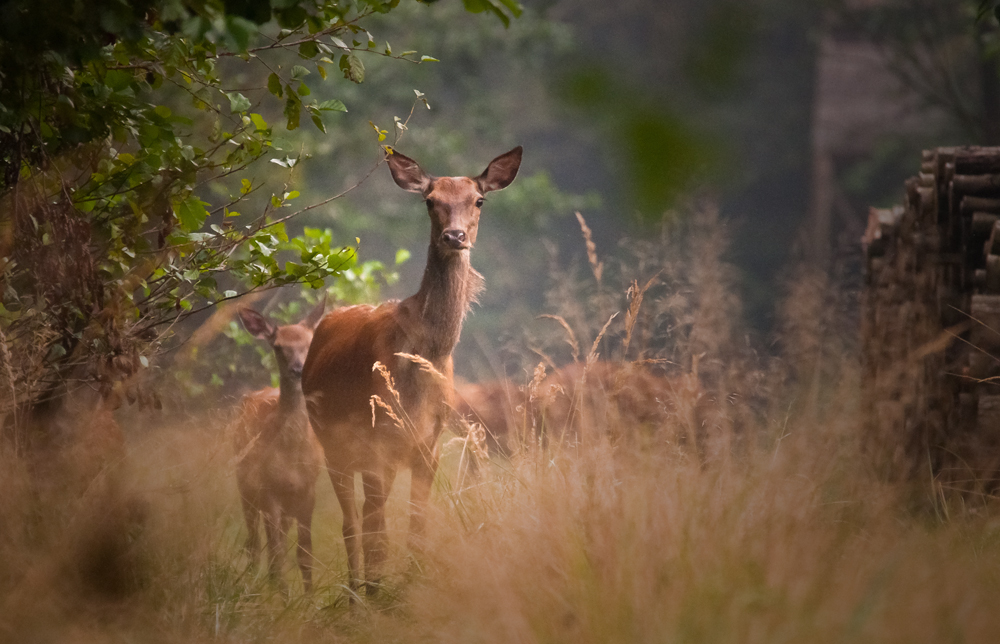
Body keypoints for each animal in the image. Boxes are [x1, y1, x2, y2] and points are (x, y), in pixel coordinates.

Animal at [232, 298, 326, 592]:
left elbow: (305, 554)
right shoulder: (268, 490)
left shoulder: (308, 489)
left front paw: (309, 598)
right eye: (277, 346)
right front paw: (281, 597)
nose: (298, 369)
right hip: (246, 488)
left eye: (310, 342)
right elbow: (276, 555)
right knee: (256, 545)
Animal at [300, 146, 524, 592]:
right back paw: (355, 591)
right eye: (430, 201)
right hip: (333, 442)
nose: (454, 236)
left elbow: (417, 529)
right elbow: (378, 537)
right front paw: (378, 594)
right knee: (354, 524)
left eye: (479, 200)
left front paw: (408, 589)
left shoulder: (429, 446)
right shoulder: (375, 441)